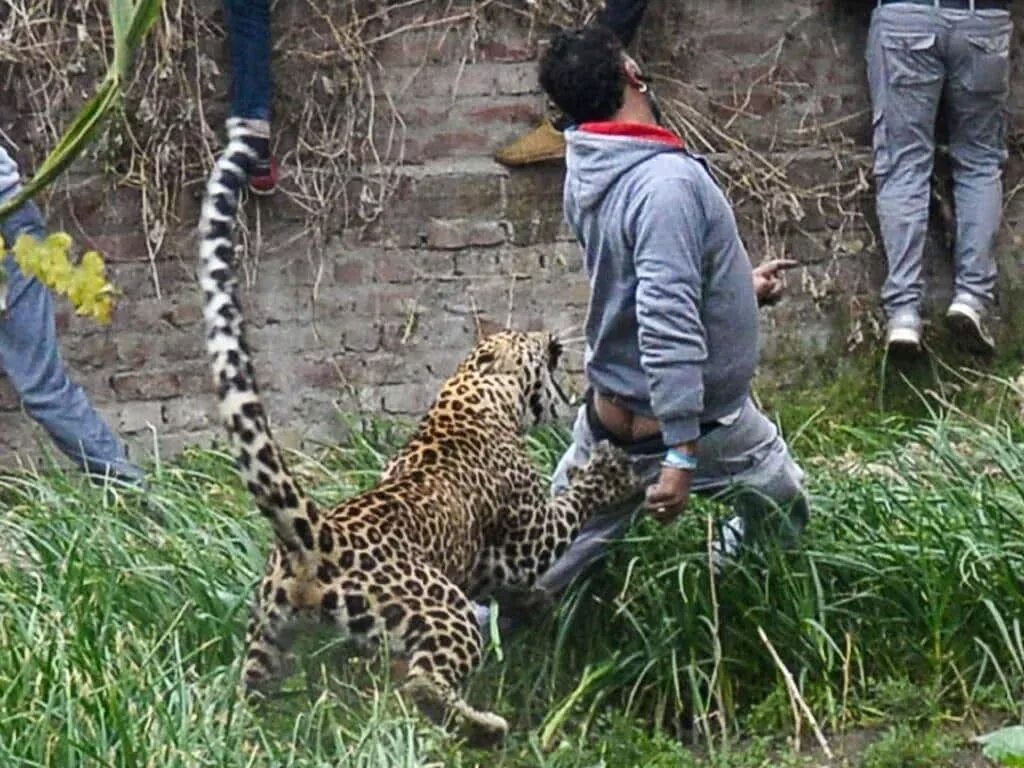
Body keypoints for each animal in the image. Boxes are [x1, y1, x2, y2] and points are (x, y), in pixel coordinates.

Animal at [196, 118, 643, 745]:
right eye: (527, 338)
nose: (552, 334)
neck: (468, 394)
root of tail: (317, 537)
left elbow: (516, 585)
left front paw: (536, 605)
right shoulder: (528, 532)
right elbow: (567, 507)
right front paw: (608, 473)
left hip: (268, 632)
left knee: (250, 691)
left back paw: (247, 730)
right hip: (439, 607)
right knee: (423, 682)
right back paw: (482, 726)